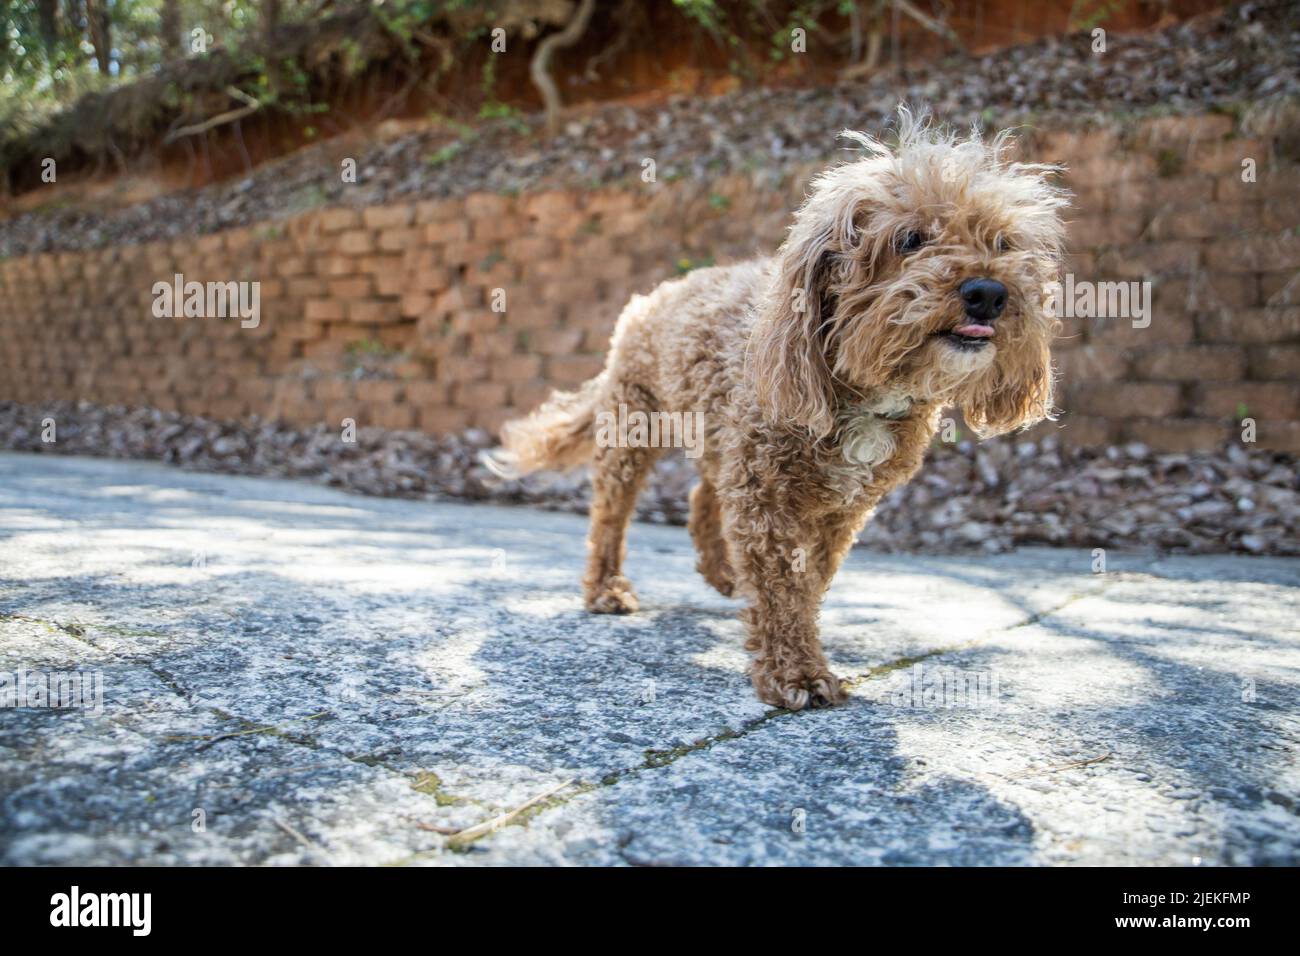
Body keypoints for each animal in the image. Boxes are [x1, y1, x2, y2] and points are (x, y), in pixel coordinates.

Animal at [496, 111, 1066, 712]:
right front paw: (797, 672)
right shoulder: (765, 494)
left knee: (703, 498)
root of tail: (655, 295)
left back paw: (721, 572)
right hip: (635, 429)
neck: (863, 387)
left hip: (719, 440)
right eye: (909, 239)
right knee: (611, 514)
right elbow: (779, 587)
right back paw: (606, 588)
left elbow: (808, 579)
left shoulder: (842, 510)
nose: (989, 292)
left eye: (1002, 241)